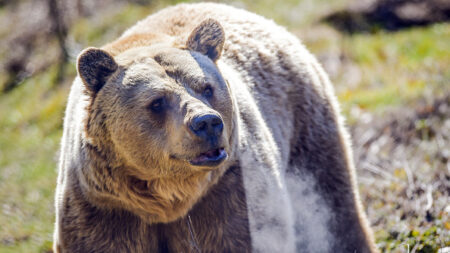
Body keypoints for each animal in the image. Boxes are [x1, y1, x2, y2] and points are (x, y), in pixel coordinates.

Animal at [52, 2, 378, 253]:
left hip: (306, 133)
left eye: (206, 87)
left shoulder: (228, 192)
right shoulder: (104, 209)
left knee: (332, 209)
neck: (168, 201)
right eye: (157, 101)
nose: (207, 123)